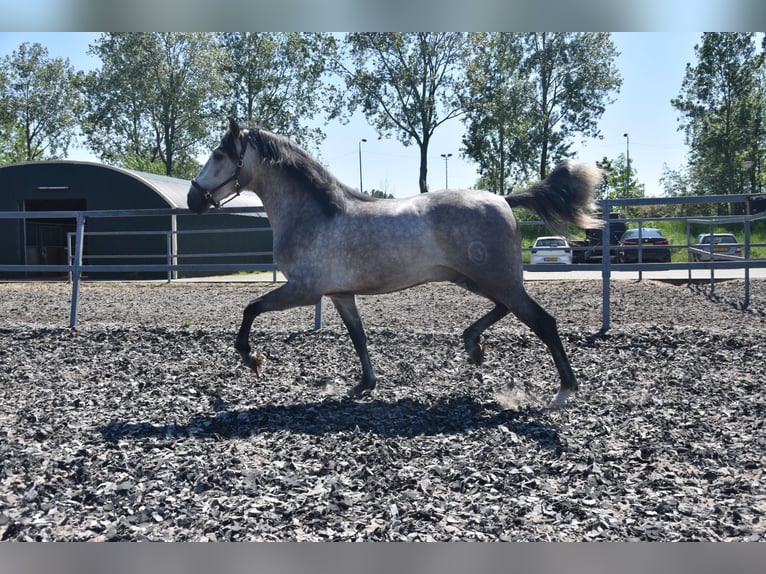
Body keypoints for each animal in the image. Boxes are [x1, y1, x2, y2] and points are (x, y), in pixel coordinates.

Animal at [189, 118, 604, 410]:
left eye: (219, 155)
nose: (193, 200)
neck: (314, 215)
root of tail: (503, 199)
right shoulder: (340, 294)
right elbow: (358, 336)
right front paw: (364, 385)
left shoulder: (304, 291)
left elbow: (251, 308)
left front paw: (252, 358)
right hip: (477, 279)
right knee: (505, 310)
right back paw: (474, 346)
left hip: (497, 280)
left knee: (544, 323)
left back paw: (563, 391)